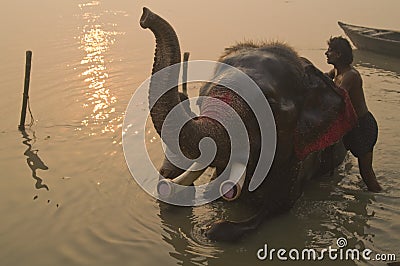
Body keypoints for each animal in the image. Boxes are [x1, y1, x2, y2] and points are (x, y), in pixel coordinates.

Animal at [139, 7, 358, 241]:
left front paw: (209, 229)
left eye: (268, 106)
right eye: (200, 99)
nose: (145, 15)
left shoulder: (301, 159)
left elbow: (276, 208)